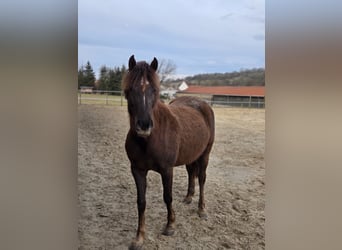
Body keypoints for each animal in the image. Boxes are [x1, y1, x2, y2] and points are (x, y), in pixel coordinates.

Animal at [122, 55, 214, 249]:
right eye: (130, 89)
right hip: (191, 155)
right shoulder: (137, 170)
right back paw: (188, 197)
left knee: (202, 178)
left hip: (205, 154)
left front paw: (170, 226)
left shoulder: (166, 170)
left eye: (155, 90)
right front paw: (139, 237)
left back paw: (201, 209)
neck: (149, 140)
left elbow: (168, 197)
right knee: (191, 173)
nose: (144, 125)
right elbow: (141, 202)